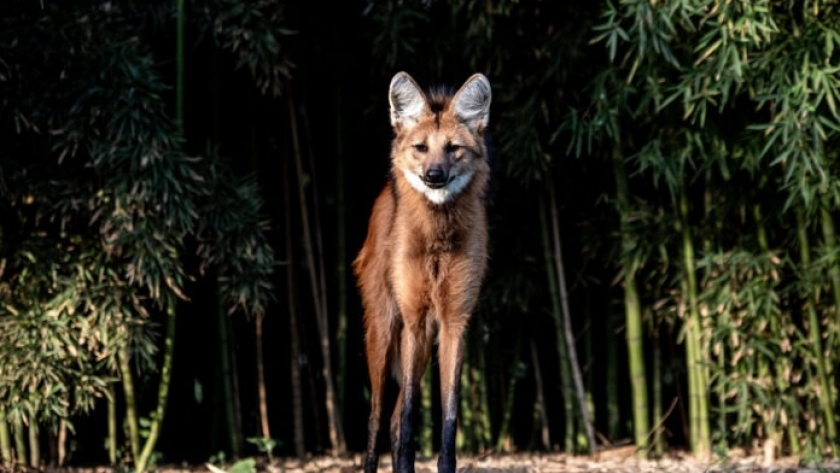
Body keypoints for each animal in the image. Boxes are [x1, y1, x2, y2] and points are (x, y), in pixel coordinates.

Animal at [352, 72, 492, 472]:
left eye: (453, 149)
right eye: (421, 147)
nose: (433, 174)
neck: (437, 236)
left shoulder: (453, 321)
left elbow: (449, 415)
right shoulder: (412, 317)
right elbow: (412, 413)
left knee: (393, 419)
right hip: (383, 330)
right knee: (378, 415)